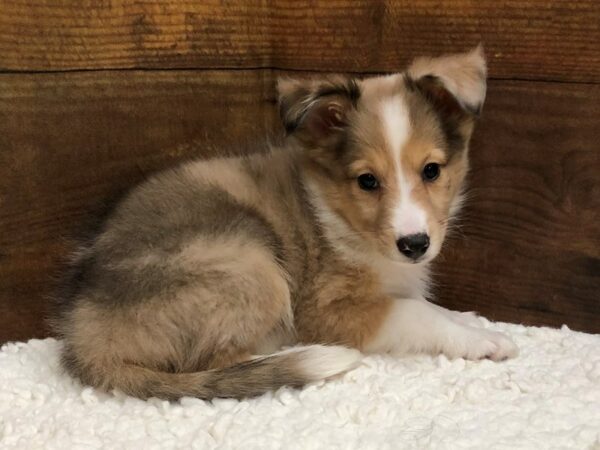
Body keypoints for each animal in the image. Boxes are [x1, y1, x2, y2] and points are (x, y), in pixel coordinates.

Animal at [54, 47, 516, 400]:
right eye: (367, 180)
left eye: (432, 170)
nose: (415, 244)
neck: (341, 216)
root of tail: (83, 333)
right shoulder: (330, 311)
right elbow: (417, 312)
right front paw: (483, 340)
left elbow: (430, 304)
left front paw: (470, 322)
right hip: (250, 265)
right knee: (214, 363)